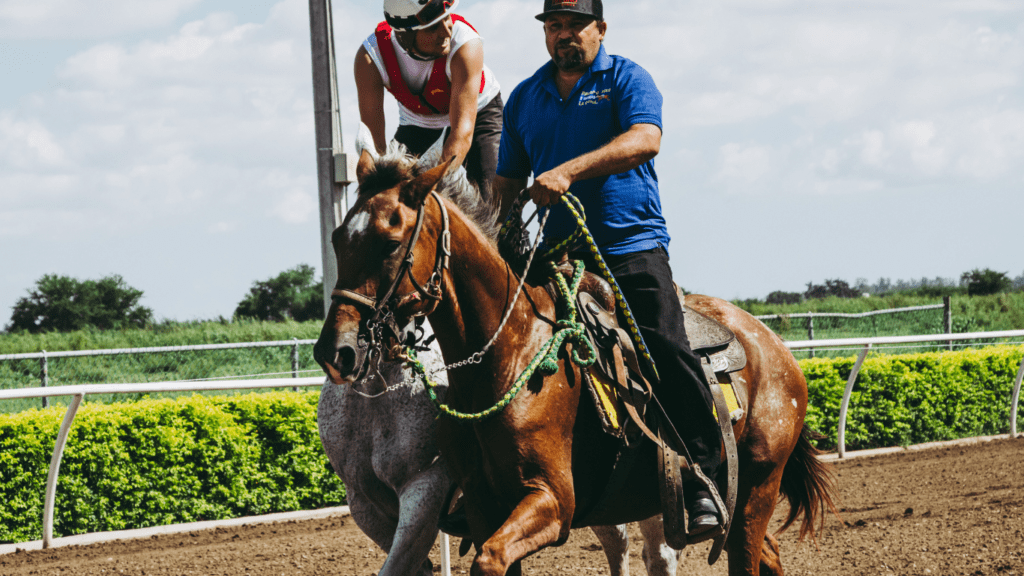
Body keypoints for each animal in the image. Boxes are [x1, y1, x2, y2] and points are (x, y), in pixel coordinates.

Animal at [309, 143, 831, 573]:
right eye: (337, 238)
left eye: (390, 242)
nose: (337, 349)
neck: (509, 352)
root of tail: (772, 344)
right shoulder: (477, 507)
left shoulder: (547, 501)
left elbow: (488, 559)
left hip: (754, 487)